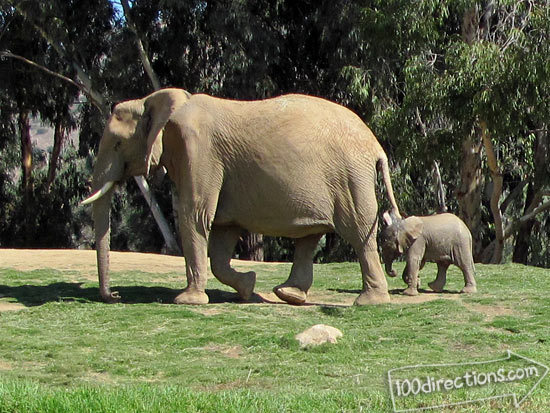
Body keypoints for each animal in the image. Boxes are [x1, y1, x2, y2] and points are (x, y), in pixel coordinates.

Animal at [81, 87, 402, 306]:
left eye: (118, 144)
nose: (115, 295)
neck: (160, 100)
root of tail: (375, 145)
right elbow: (222, 234)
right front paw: (248, 287)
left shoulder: (199, 153)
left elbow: (195, 215)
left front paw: (187, 301)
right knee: (311, 236)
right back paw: (289, 295)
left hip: (349, 178)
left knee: (358, 231)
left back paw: (369, 302)